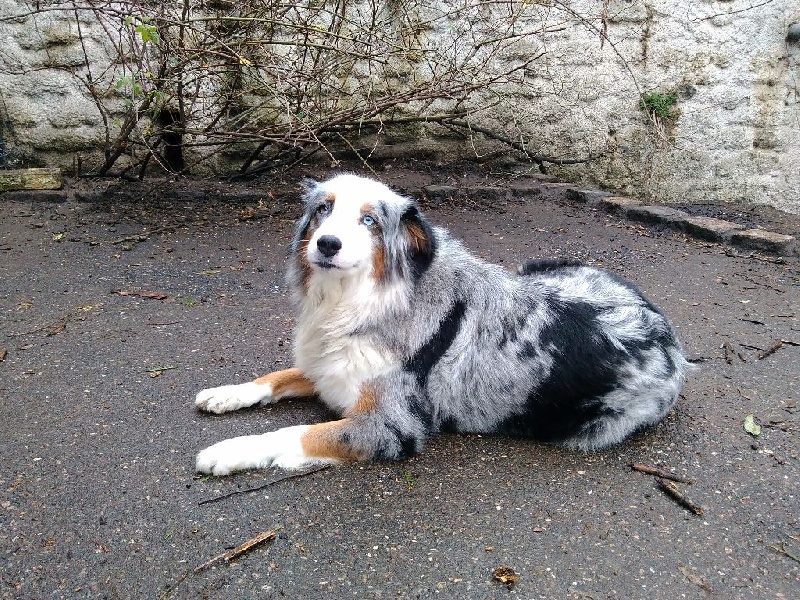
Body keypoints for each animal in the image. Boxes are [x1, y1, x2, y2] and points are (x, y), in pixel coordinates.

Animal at [194, 172, 688, 474]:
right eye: (322, 210)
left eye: (370, 220)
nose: (327, 244)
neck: (357, 300)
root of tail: (670, 338)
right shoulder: (328, 366)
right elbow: (279, 375)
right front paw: (227, 393)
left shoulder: (391, 425)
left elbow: (298, 433)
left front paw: (230, 450)